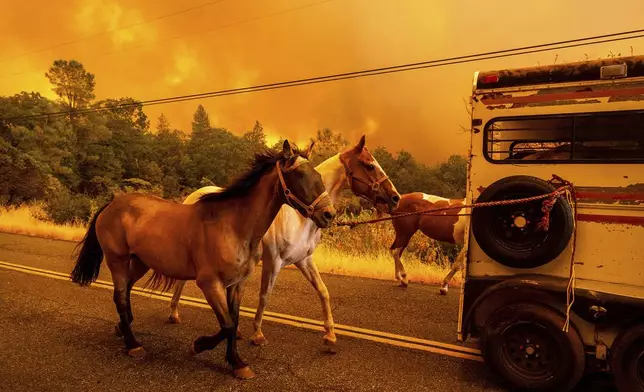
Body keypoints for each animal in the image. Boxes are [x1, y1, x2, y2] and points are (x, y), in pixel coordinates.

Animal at [69, 139, 338, 378]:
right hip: (118, 260)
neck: (233, 225)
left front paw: (235, 361)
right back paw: (133, 345)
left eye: (318, 175)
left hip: (139, 262)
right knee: (121, 297)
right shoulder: (209, 284)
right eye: (300, 175)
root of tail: (111, 204)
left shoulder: (236, 284)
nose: (329, 214)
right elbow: (227, 324)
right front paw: (205, 349)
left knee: (125, 293)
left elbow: (233, 323)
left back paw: (122, 329)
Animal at [166, 136, 400, 348]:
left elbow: (323, 291)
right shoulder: (274, 262)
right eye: (370, 165)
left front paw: (330, 335)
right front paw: (257, 334)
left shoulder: (304, 260)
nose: (395, 197)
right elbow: (264, 296)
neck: (300, 219)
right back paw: (174, 313)